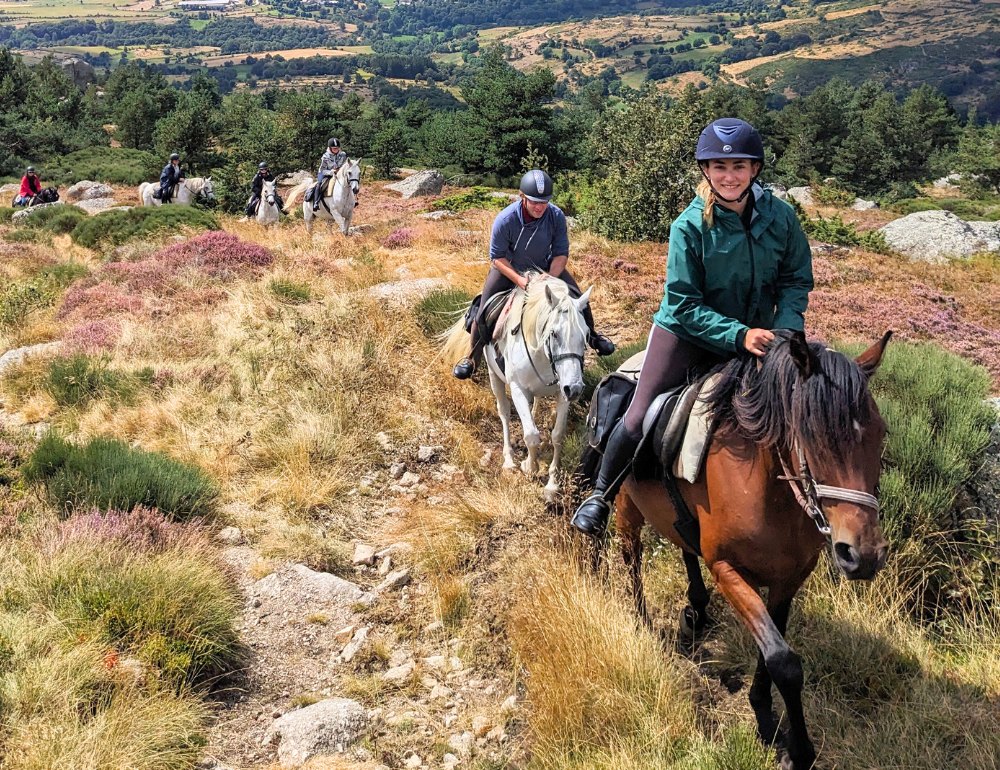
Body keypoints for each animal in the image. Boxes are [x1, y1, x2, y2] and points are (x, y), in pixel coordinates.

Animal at [442, 272, 588, 500]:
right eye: (554, 333)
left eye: (586, 334)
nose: (575, 388)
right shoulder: (518, 389)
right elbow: (531, 435)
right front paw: (530, 466)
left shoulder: (562, 394)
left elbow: (557, 436)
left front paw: (552, 484)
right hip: (494, 377)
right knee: (504, 412)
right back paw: (509, 460)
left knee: (534, 406)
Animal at [604, 328, 888, 768]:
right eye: (813, 435)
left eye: (881, 433)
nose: (864, 554)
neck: (768, 489)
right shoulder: (728, 570)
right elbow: (784, 662)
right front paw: (798, 748)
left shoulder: (789, 579)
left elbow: (772, 652)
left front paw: (765, 717)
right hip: (627, 507)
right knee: (631, 556)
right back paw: (643, 620)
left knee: (685, 546)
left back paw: (696, 610)